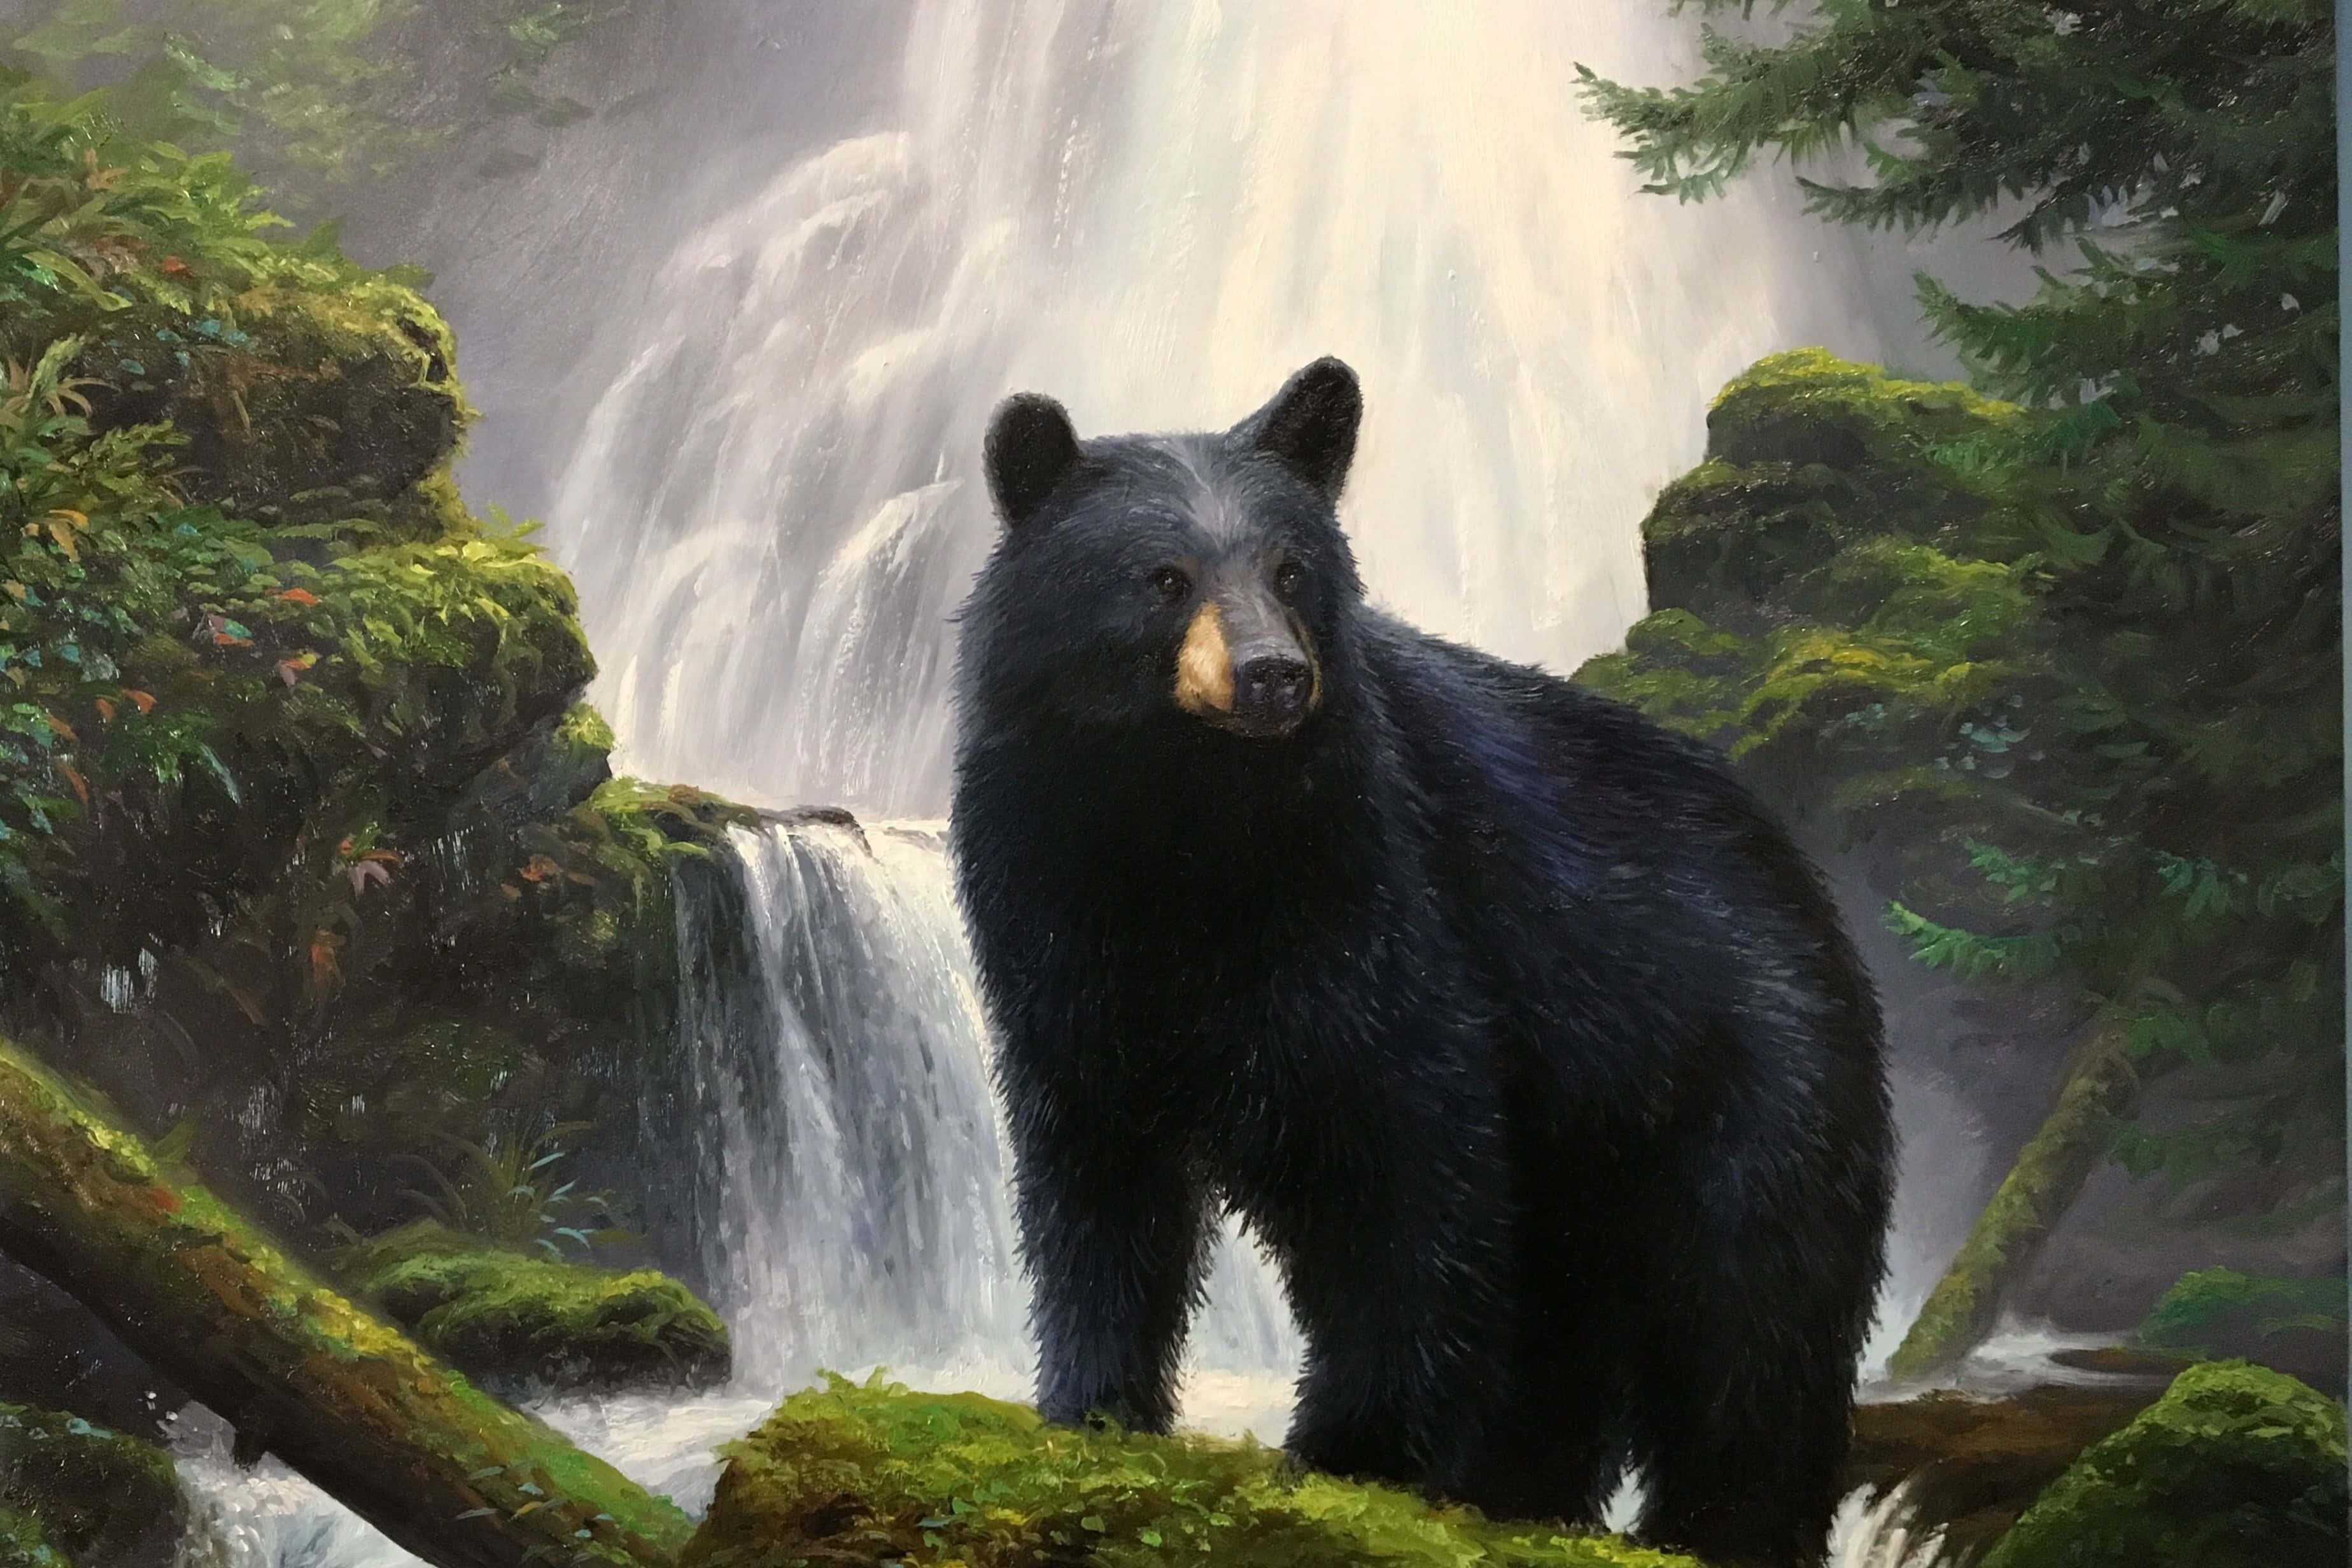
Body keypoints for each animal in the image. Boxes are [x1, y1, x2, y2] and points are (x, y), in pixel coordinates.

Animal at [948, 358, 1894, 1568]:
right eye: (1163, 577)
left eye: (1291, 569)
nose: (1272, 674)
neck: (1187, 818)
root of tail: (1803, 884)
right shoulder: (1050, 922)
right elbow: (1096, 1181)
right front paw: (1093, 1411)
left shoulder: (1373, 893)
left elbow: (1399, 1160)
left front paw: (1350, 1451)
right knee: (1572, 1332)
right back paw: (1517, 1492)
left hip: (1746, 1085)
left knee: (1750, 1329)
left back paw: (1711, 1526)